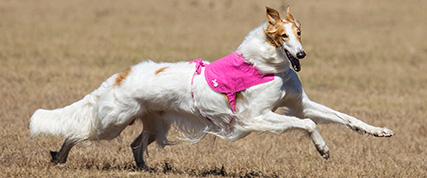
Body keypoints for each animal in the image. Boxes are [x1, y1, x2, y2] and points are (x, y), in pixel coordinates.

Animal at [30, 6, 394, 170]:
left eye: (300, 32)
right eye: (283, 35)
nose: (302, 55)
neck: (267, 67)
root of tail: (119, 75)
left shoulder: (298, 102)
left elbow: (345, 118)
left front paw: (379, 131)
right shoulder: (255, 118)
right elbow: (307, 124)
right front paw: (323, 149)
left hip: (155, 121)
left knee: (135, 144)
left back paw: (145, 169)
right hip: (112, 122)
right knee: (76, 132)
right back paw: (59, 157)